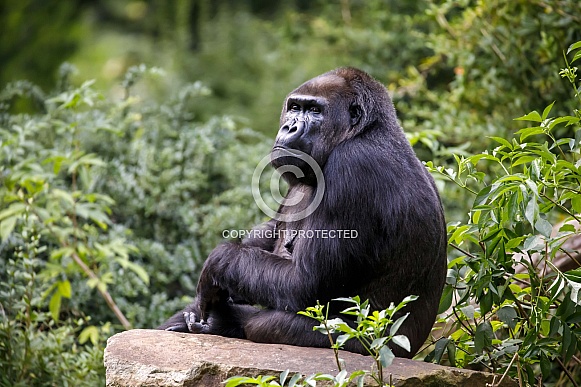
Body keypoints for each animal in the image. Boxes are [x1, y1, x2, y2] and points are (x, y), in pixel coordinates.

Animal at [156, 67, 446, 360]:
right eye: (295, 107)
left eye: (315, 111)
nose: (289, 127)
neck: (366, 131)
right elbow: (269, 231)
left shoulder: (353, 165)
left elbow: (305, 284)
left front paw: (217, 264)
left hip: (375, 345)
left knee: (266, 324)